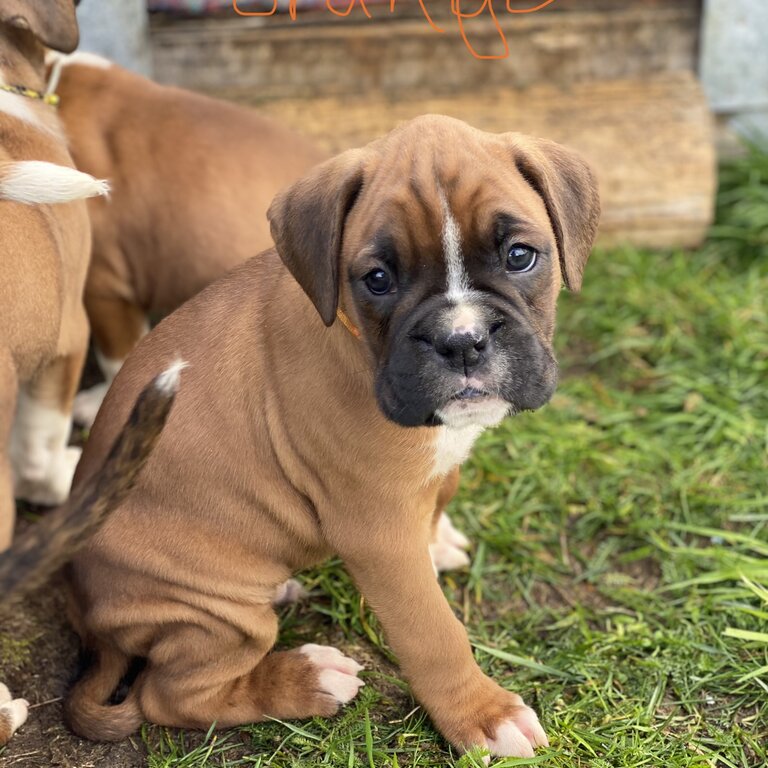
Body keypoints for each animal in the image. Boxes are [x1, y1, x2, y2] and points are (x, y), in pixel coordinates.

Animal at [64, 117, 600, 760]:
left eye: (520, 256)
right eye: (378, 279)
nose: (462, 340)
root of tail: (86, 614)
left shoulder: (429, 477)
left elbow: (439, 496)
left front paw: (437, 541)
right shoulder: (377, 530)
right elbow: (434, 632)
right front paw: (482, 715)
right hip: (209, 609)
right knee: (171, 696)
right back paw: (310, 680)